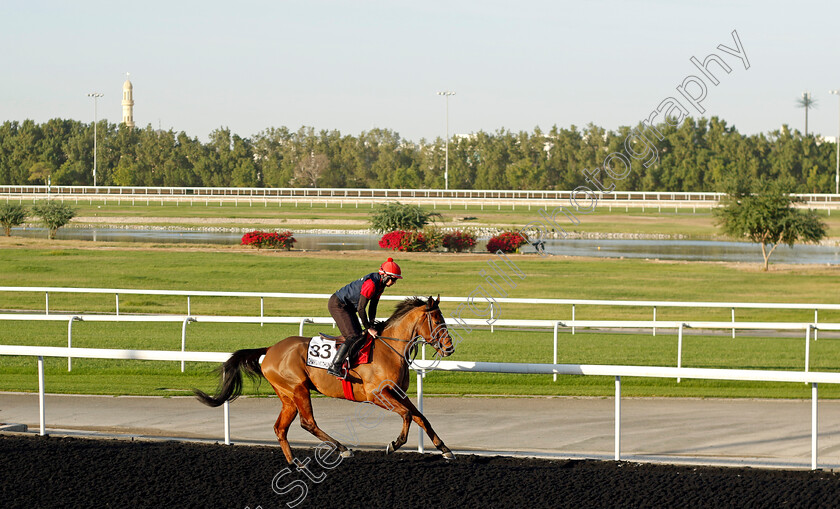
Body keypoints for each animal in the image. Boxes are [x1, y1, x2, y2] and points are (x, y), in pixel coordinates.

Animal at [194, 294, 456, 464]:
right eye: (437, 319)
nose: (449, 348)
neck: (389, 349)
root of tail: (270, 349)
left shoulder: (398, 392)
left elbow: (420, 417)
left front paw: (444, 449)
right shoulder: (376, 394)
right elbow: (407, 415)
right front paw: (394, 444)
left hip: (287, 395)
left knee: (280, 428)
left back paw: (295, 464)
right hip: (298, 388)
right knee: (307, 423)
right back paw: (342, 448)